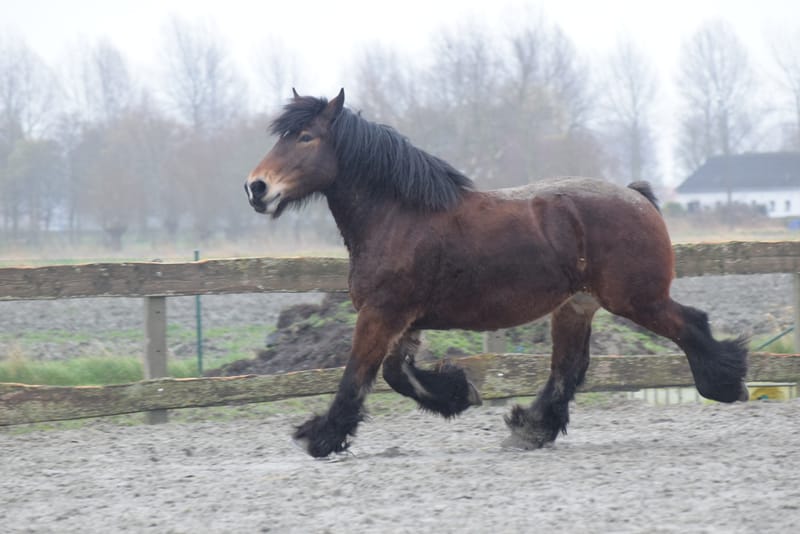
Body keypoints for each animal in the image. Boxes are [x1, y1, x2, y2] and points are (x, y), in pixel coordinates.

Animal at [244, 89, 749, 458]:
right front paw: (458, 394)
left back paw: (728, 384)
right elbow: (393, 374)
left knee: (690, 326)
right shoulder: (402, 320)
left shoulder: (381, 314)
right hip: (576, 307)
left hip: (637, 300)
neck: (398, 216)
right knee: (568, 368)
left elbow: (357, 375)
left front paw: (319, 437)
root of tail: (637, 197)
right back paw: (531, 429)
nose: (257, 188)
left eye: (306, 136)